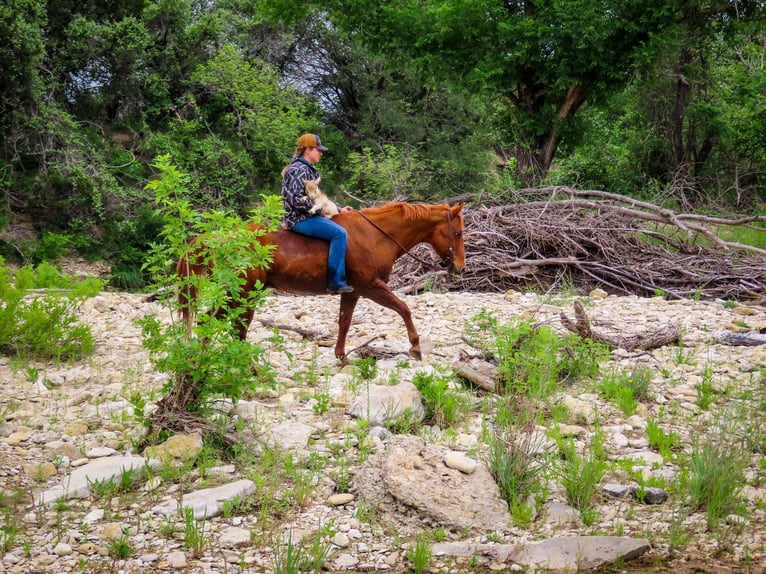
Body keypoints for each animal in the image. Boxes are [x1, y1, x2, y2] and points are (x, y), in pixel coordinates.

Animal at [180, 205, 468, 362]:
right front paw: (416, 347)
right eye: (457, 232)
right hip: (243, 294)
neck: (375, 235)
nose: (460, 267)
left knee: (212, 322)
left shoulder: (352, 292)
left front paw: (341, 357)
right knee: (234, 328)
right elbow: (404, 309)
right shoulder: (371, 287)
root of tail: (215, 238)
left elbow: (344, 322)